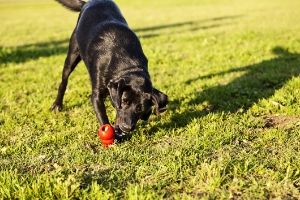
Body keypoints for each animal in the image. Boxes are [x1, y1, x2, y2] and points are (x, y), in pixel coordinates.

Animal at [52, 0, 169, 138]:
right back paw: (57, 104)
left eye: (140, 108)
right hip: (72, 55)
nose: (126, 127)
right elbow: (103, 116)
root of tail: (87, 3)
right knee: (63, 82)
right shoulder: (96, 95)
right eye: (124, 101)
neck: (127, 65)